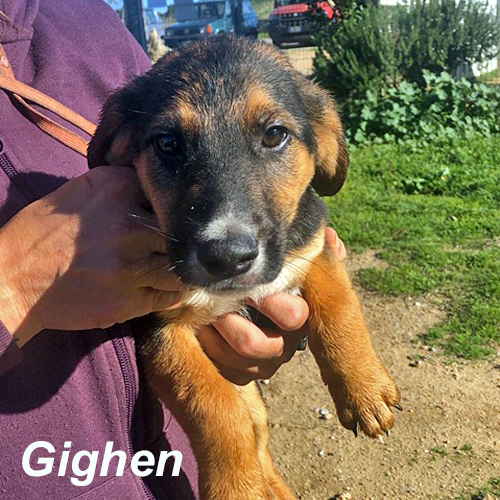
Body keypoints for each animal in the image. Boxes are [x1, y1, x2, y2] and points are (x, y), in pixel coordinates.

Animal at [88, 35, 400, 500]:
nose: (227, 258)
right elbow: (217, 408)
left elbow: (340, 306)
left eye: (274, 134)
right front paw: (234, 486)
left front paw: (364, 388)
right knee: (253, 426)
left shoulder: (313, 245)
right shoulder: (160, 330)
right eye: (168, 144)